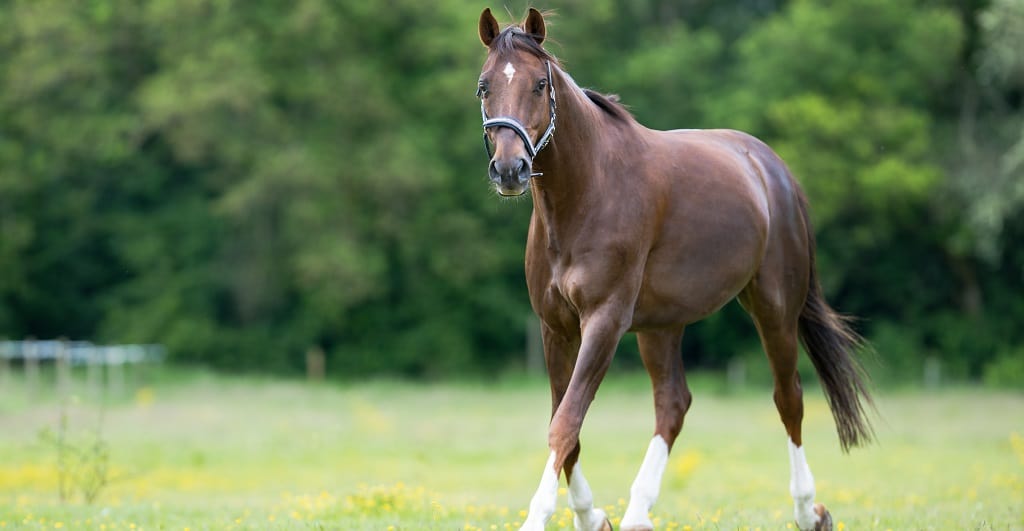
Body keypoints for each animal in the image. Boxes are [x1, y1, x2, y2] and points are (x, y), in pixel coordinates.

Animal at [475, 8, 874, 531]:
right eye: (483, 87)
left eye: (540, 84)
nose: (510, 170)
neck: (589, 191)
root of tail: (773, 170)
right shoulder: (555, 327)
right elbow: (568, 425)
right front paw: (591, 516)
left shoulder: (604, 321)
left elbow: (566, 423)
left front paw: (539, 517)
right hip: (662, 326)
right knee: (673, 405)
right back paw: (636, 514)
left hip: (774, 309)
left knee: (789, 398)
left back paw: (810, 511)